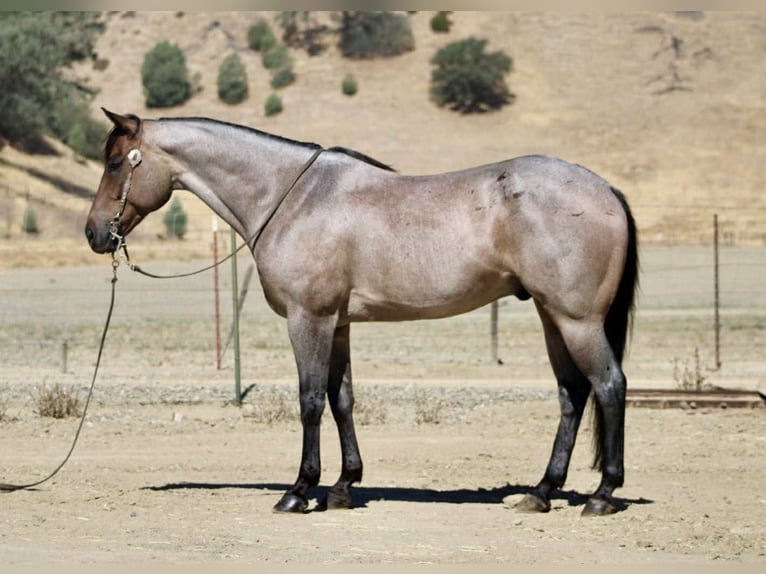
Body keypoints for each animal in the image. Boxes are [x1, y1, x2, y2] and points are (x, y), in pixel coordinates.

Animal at [86, 109, 638, 517]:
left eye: (114, 163)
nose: (94, 233)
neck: (294, 196)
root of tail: (606, 189)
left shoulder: (308, 319)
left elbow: (310, 400)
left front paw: (299, 490)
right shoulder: (339, 325)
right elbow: (342, 399)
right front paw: (343, 486)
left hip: (577, 320)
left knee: (609, 385)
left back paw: (602, 495)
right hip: (551, 317)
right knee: (572, 394)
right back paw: (541, 492)